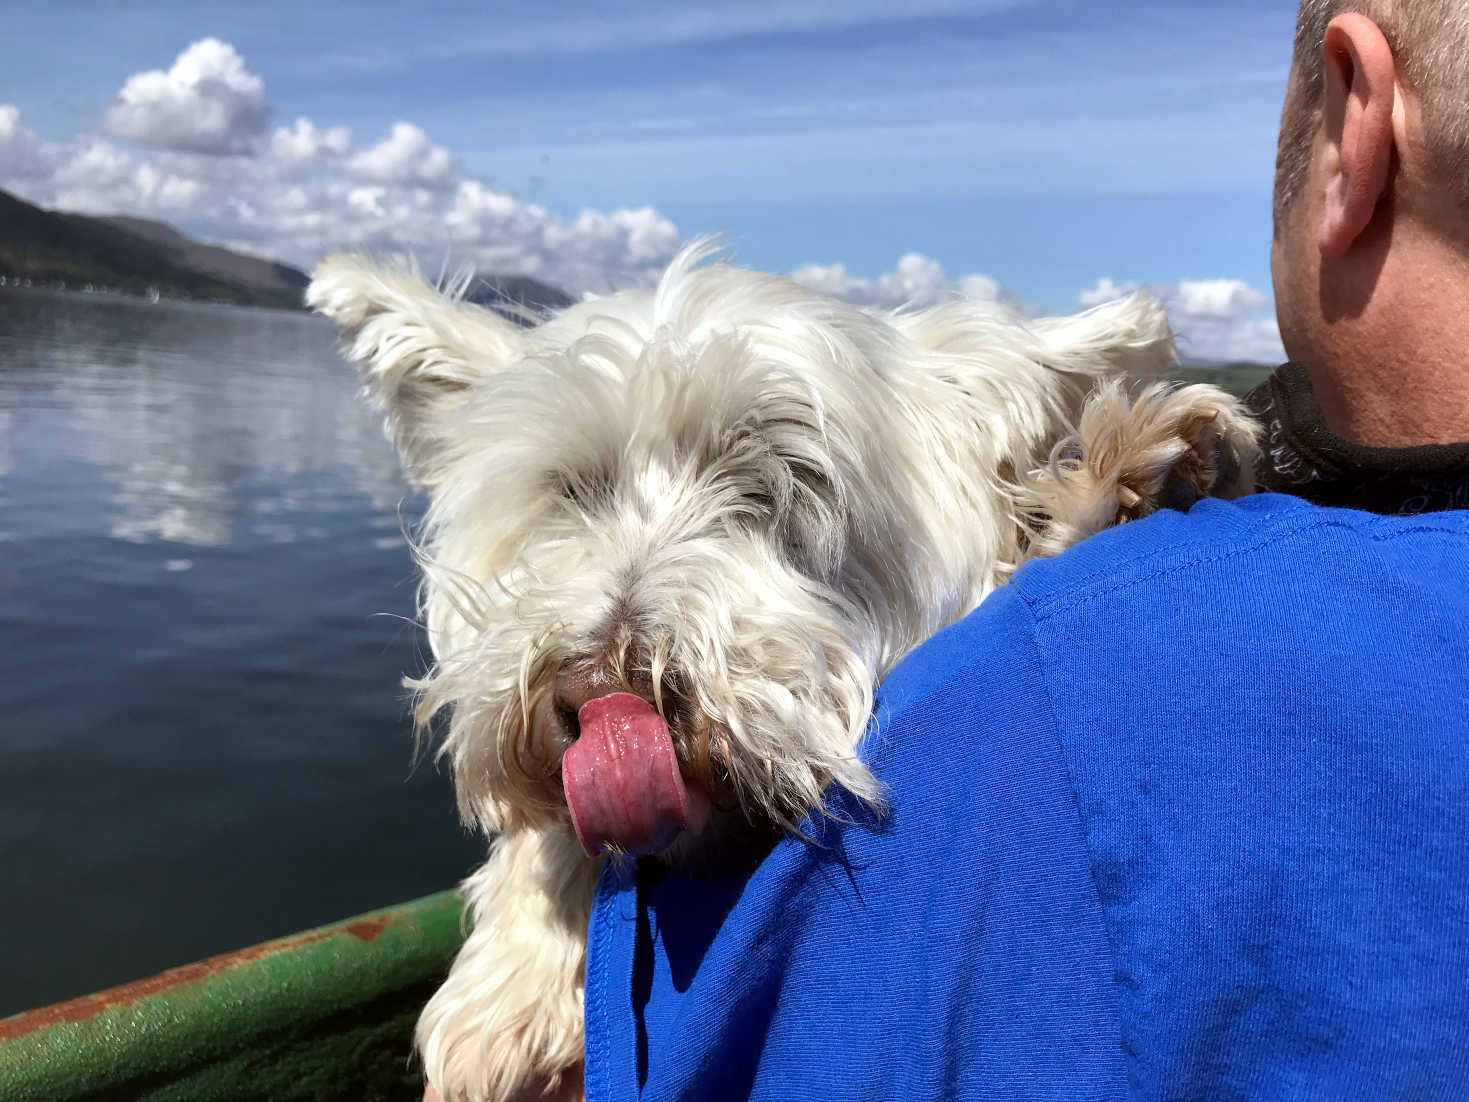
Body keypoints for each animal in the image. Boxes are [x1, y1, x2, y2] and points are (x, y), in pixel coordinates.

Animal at [304, 243, 1257, 1102]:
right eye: (573, 490)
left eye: (781, 485)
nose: (598, 691)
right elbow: (549, 825)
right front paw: (514, 978)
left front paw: (1108, 489)